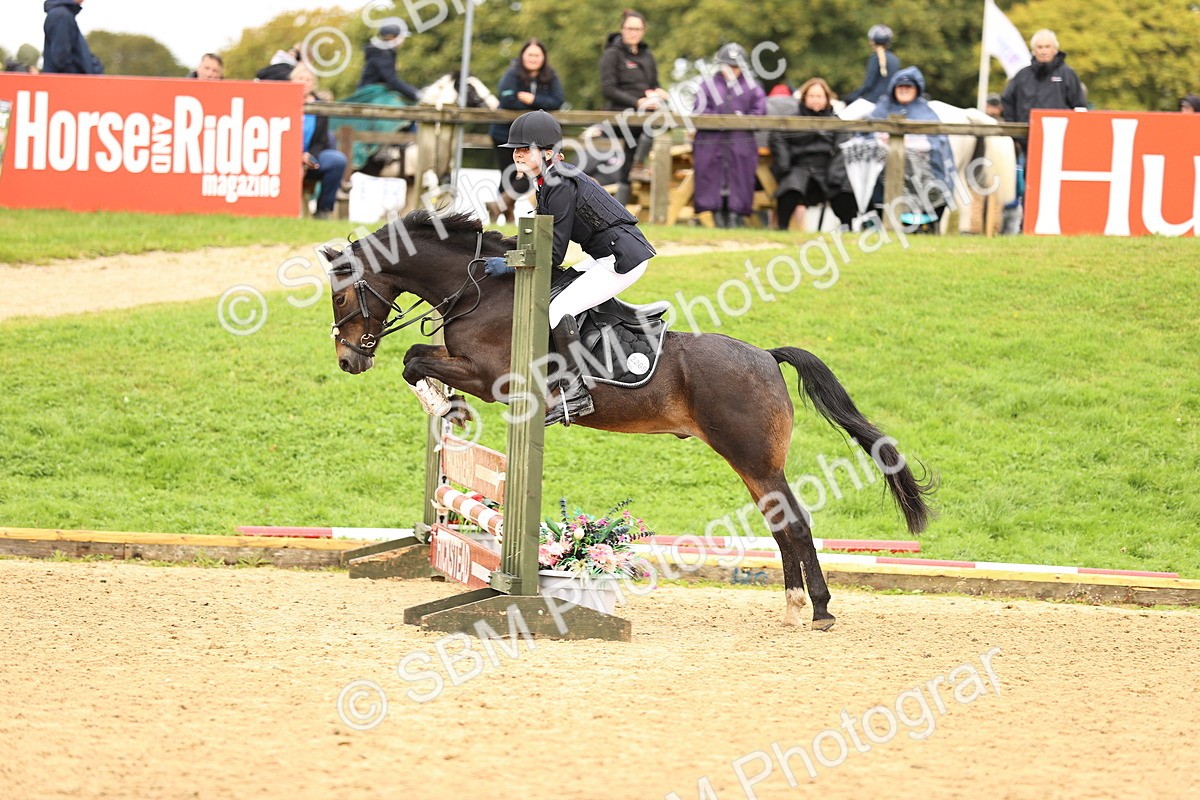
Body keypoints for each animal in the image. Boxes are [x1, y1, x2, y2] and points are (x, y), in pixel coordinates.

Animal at [323, 210, 935, 630]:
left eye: (342, 297)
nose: (349, 360)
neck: (485, 290)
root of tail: (766, 355)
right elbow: (417, 359)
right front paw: (444, 405)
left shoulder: (492, 376)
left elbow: (414, 360)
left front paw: (444, 404)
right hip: (751, 464)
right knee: (783, 525)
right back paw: (795, 608)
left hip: (754, 458)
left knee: (796, 524)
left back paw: (819, 611)